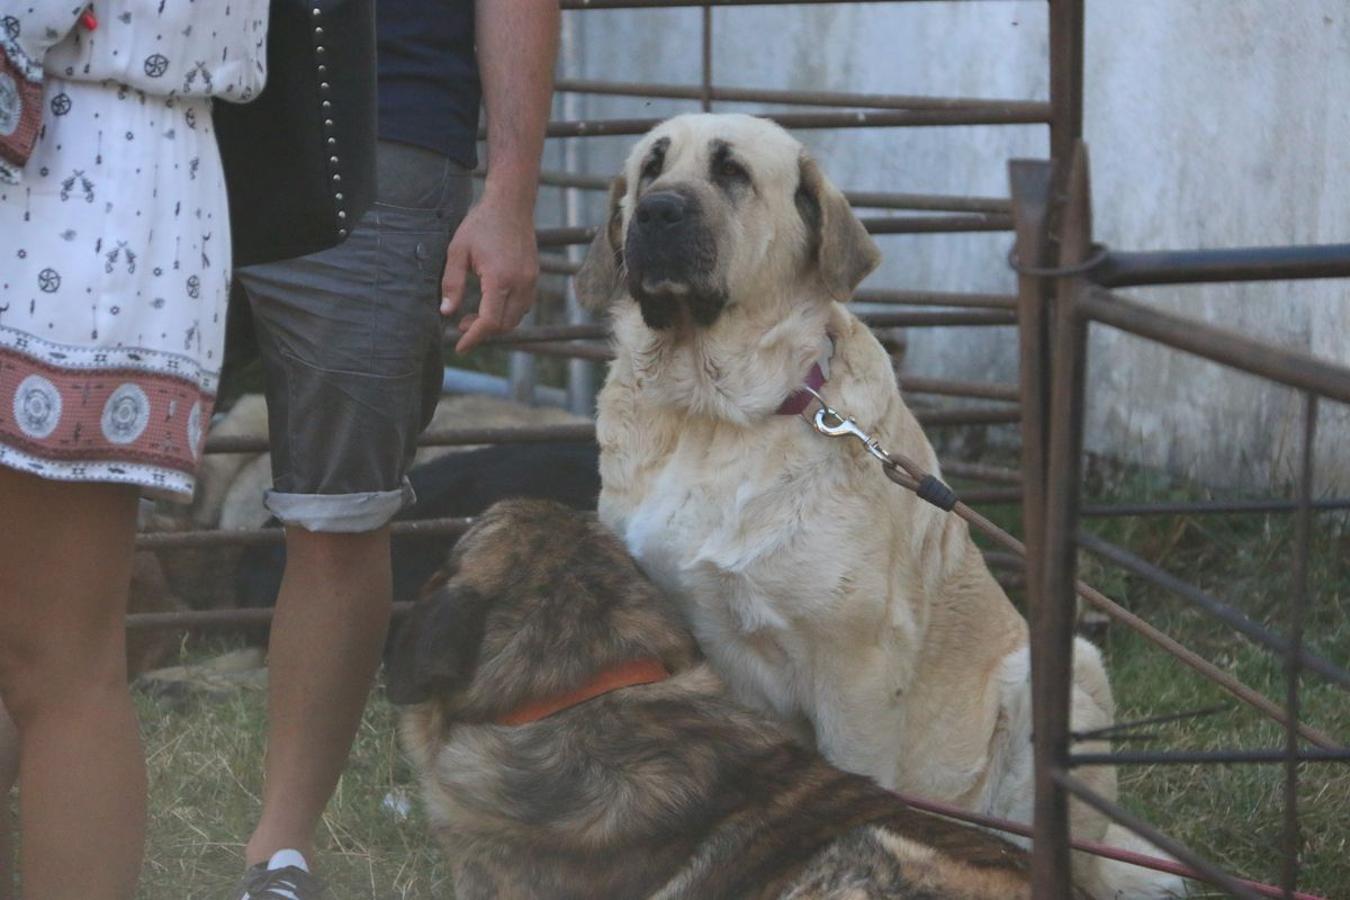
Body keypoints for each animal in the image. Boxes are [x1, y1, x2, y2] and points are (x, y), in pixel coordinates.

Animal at [575, 114, 1188, 900]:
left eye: (732, 172)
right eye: (650, 168)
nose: (655, 213)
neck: (711, 412)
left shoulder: (857, 667)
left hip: (1061, 678)